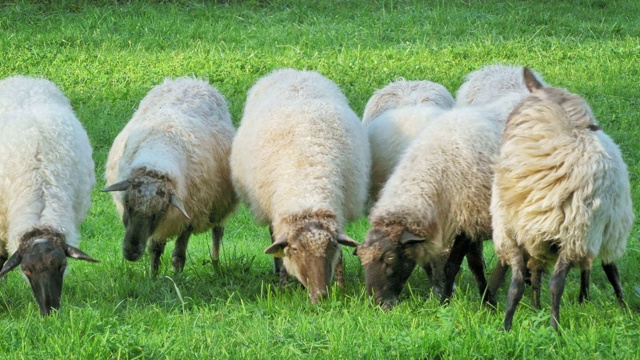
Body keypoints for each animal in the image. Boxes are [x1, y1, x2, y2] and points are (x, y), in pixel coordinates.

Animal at [104, 77, 236, 274]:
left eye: (156, 215)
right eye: (128, 206)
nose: (131, 253)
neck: (158, 154)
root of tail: (191, 80)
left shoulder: (188, 217)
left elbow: (178, 255)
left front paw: (177, 277)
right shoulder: (162, 225)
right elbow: (155, 250)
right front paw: (153, 276)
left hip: (220, 204)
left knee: (217, 232)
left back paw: (215, 263)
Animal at [231, 68, 370, 304]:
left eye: (332, 246)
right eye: (295, 249)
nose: (320, 296)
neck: (307, 188)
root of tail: (292, 71)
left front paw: (341, 288)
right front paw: (283, 286)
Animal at [356, 104, 504, 310]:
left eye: (390, 258)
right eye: (361, 259)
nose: (379, 304)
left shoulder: (469, 218)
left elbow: (455, 266)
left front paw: (454, 302)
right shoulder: (469, 221)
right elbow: (472, 264)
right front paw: (482, 299)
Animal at [490, 69, 636, 334]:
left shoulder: (568, 235)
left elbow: (546, 283)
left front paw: (549, 326)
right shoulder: (517, 234)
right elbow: (522, 284)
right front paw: (511, 325)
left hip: (590, 233)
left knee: (600, 269)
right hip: (573, 235)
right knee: (578, 270)